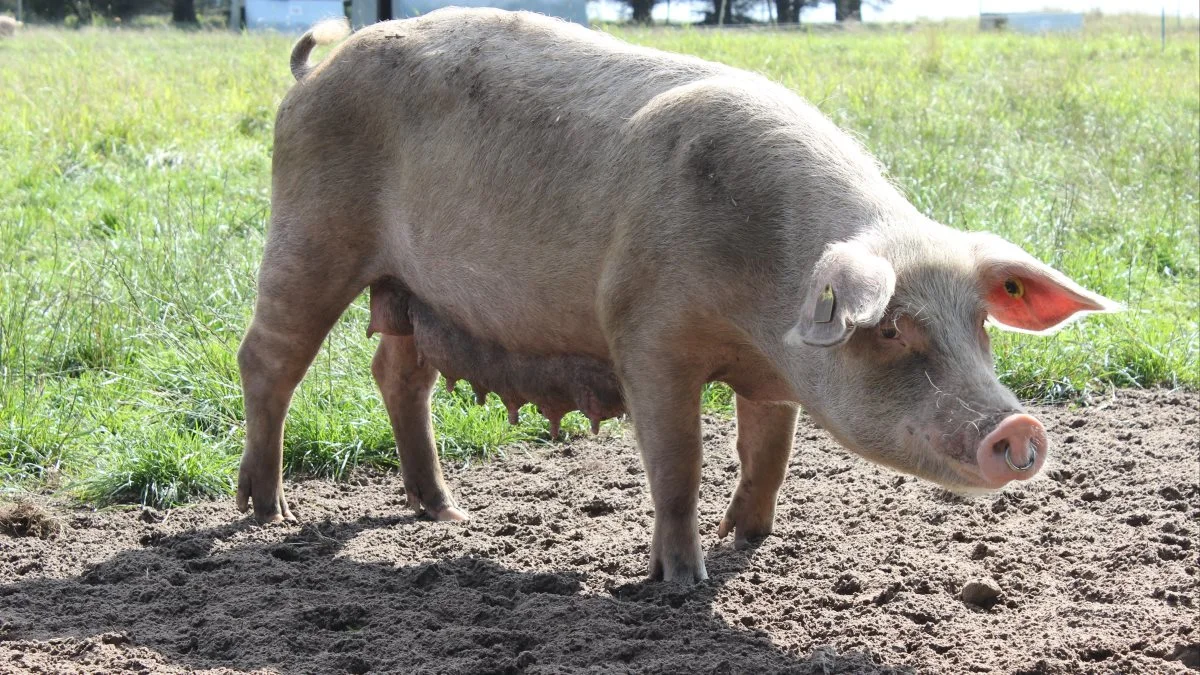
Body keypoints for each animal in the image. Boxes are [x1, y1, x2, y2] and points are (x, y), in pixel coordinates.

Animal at [238, 7, 1118, 581]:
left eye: (980, 324)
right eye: (894, 329)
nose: (1019, 427)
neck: (764, 307)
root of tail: (313, 71)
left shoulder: (774, 377)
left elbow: (769, 454)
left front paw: (752, 542)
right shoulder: (644, 333)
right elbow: (678, 459)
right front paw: (681, 580)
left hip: (412, 289)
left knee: (397, 375)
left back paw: (447, 512)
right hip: (310, 231)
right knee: (268, 360)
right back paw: (266, 513)